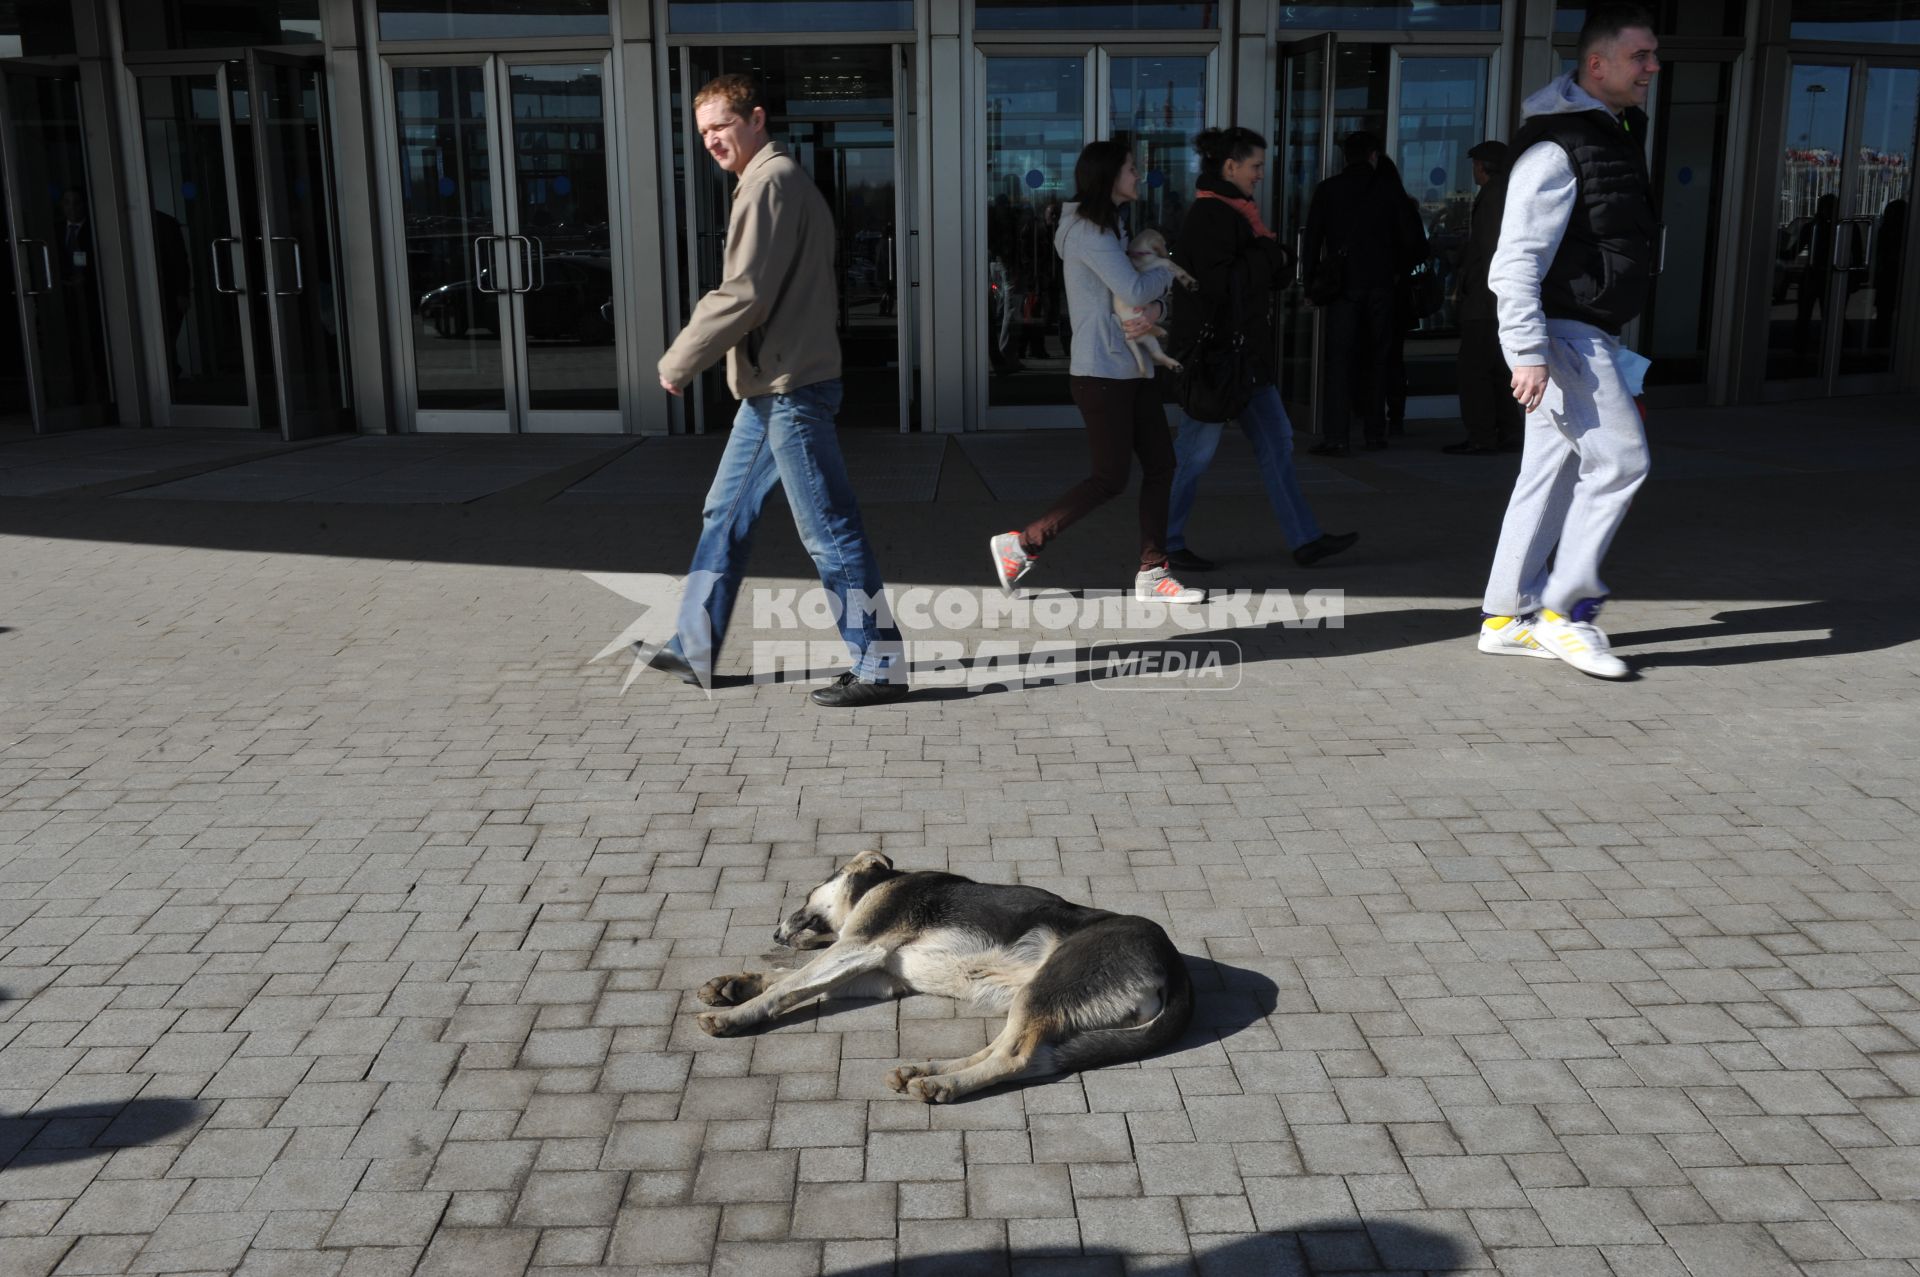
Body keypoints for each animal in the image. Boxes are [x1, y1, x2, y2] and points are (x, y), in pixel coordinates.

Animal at [698, 852, 1190, 1098]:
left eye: (806, 894)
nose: (774, 932)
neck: (880, 883)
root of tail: (1176, 964)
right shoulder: (878, 973)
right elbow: (791, 976)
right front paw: (736, 985)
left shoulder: (861, 946)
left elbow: (789, 985)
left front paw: (735, 1014)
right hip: (1035, 1000)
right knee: (1012, 1054)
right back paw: (924, 1071)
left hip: (1050, 987)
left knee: (1016, 1059)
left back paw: (942, 1084)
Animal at [1121, 229, 1190, 374]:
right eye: (1164, 243)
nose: (1169, 252)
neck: (1141, 252)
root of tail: (1130, 336)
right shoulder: (1151, 266)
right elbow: (1167, 263)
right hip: (1136, 315)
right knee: (1146, 322)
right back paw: (1161, 331)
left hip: (1149, 339)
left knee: (1156, 353)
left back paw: (1174, 365)